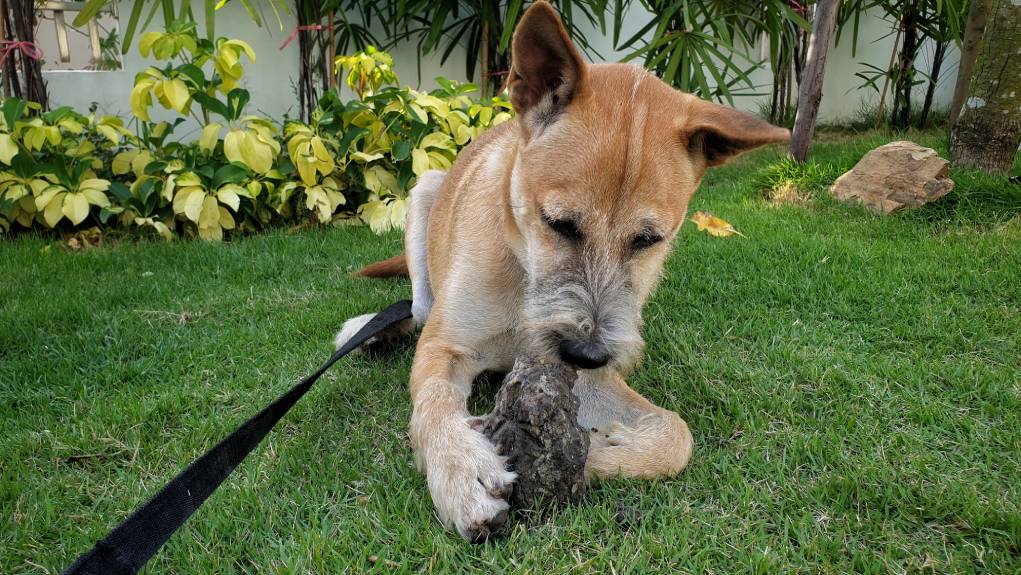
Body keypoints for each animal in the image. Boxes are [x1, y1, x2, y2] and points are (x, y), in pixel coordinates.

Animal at [336, 2, 788, 543]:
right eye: (560, 224)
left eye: (648, 240)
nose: (585, 353)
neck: (524, 275)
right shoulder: (445, 347)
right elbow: (434, 404)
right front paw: (461, 471)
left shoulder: (586, 377)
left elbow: (677, 435)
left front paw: (599, 455)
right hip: (424, 192)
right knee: (417, 309)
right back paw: (369, 329)